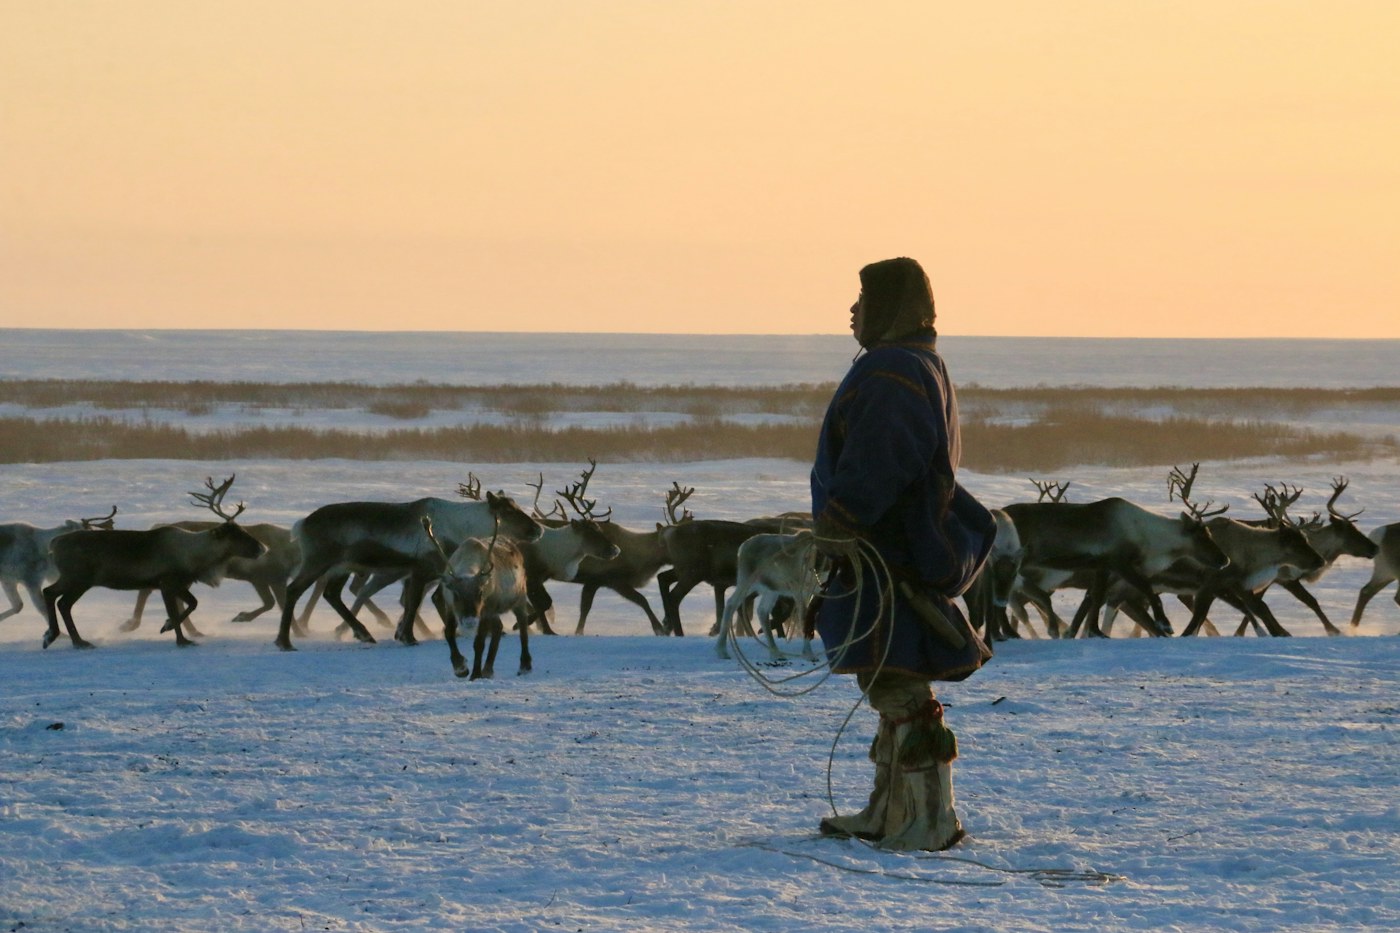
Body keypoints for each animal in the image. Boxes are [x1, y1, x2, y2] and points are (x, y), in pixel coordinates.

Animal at [41, 477, 265, 648]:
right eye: (237, 535)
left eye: (242, 531)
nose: (262, 547)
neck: (196, 557)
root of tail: (54, 543)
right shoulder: (167, 581)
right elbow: (180, 609)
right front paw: (177, 636)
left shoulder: (178, 583)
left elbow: (191, 604)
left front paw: (170, 628)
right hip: (79, 578)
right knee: (60, 601)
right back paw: (74, 640)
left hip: (75, 579)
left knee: (53, 596)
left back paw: (57, 636)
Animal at [274, 479, 541, 651]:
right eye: (508, 511)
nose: (538, 529)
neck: (461, 528)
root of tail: (302, 524)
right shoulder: (421, 570)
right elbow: (413, 604)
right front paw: (409, 637)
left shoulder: (428, 573)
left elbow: (415, 603)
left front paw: (403, 633)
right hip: (318, 561)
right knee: (294, 590)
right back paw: (285, 641)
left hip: (343, 566)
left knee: (332, 594)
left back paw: (363, 633)